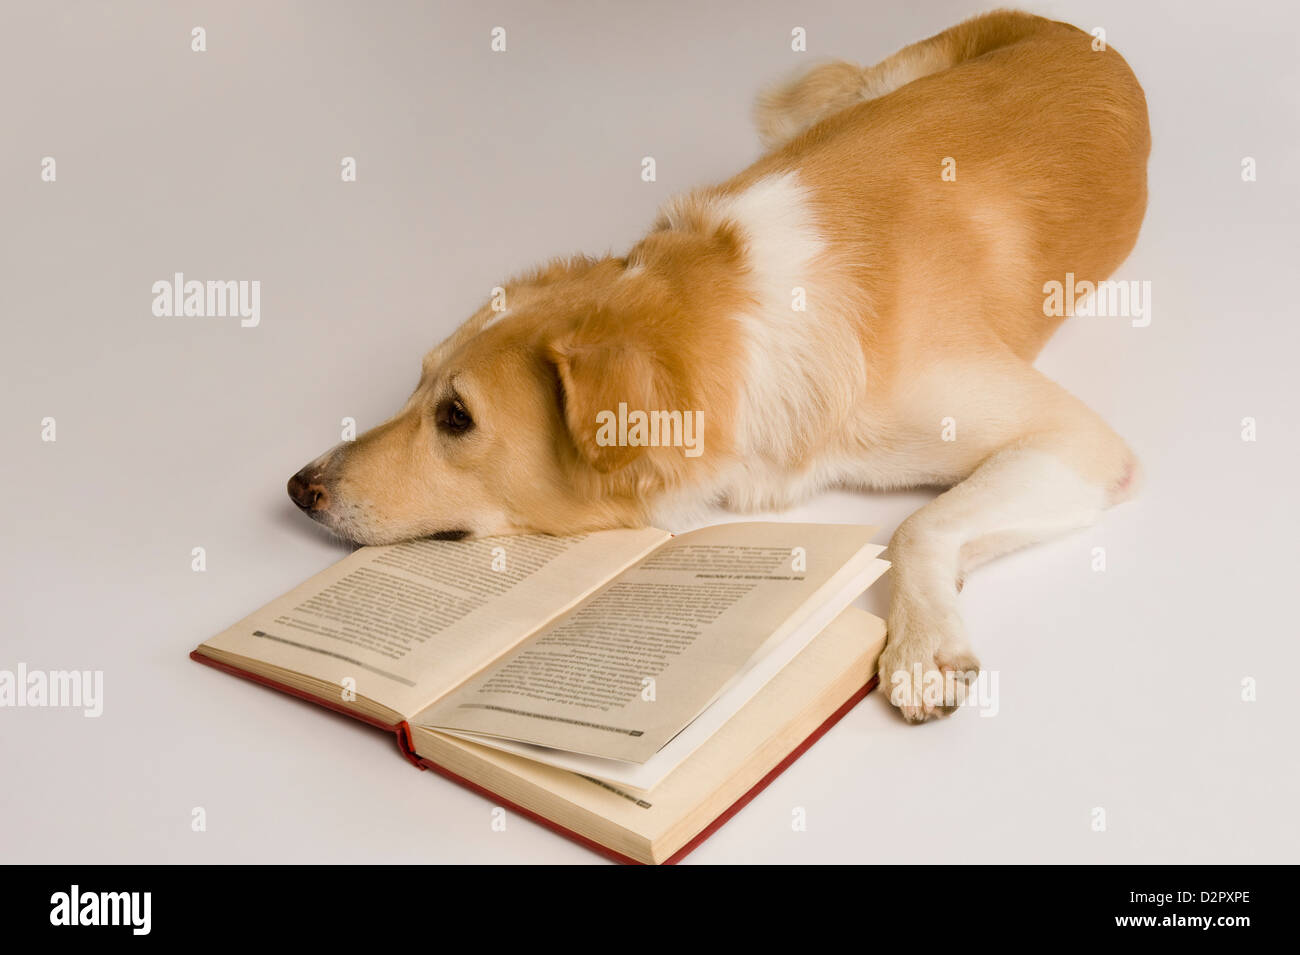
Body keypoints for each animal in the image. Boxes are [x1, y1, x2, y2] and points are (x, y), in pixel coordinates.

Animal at [284, 11, 1149, 722]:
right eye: (415, 383)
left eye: (457, 416)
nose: (298, 487)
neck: (722, 311)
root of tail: (1071, 28)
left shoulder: (1076, 440)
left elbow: (918, 523)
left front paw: (923, 641)